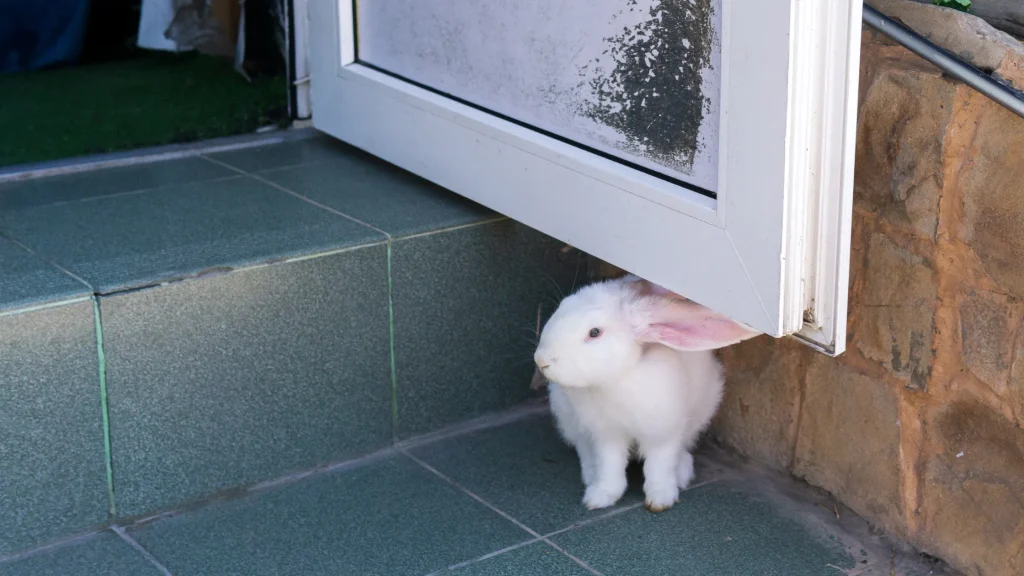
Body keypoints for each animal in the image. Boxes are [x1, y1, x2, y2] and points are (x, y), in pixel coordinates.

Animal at [533, 274, 759, 512]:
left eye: (594, 332)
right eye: (562, 305)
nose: (541, 360)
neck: (618, 379)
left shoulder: (664, 433)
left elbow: (658, 466)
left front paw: (660, 499)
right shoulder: (607, 436)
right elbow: (610, 467)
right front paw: (600, 497)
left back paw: (682, 473)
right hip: (568, 418)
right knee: (582, 448)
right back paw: (591, 474)